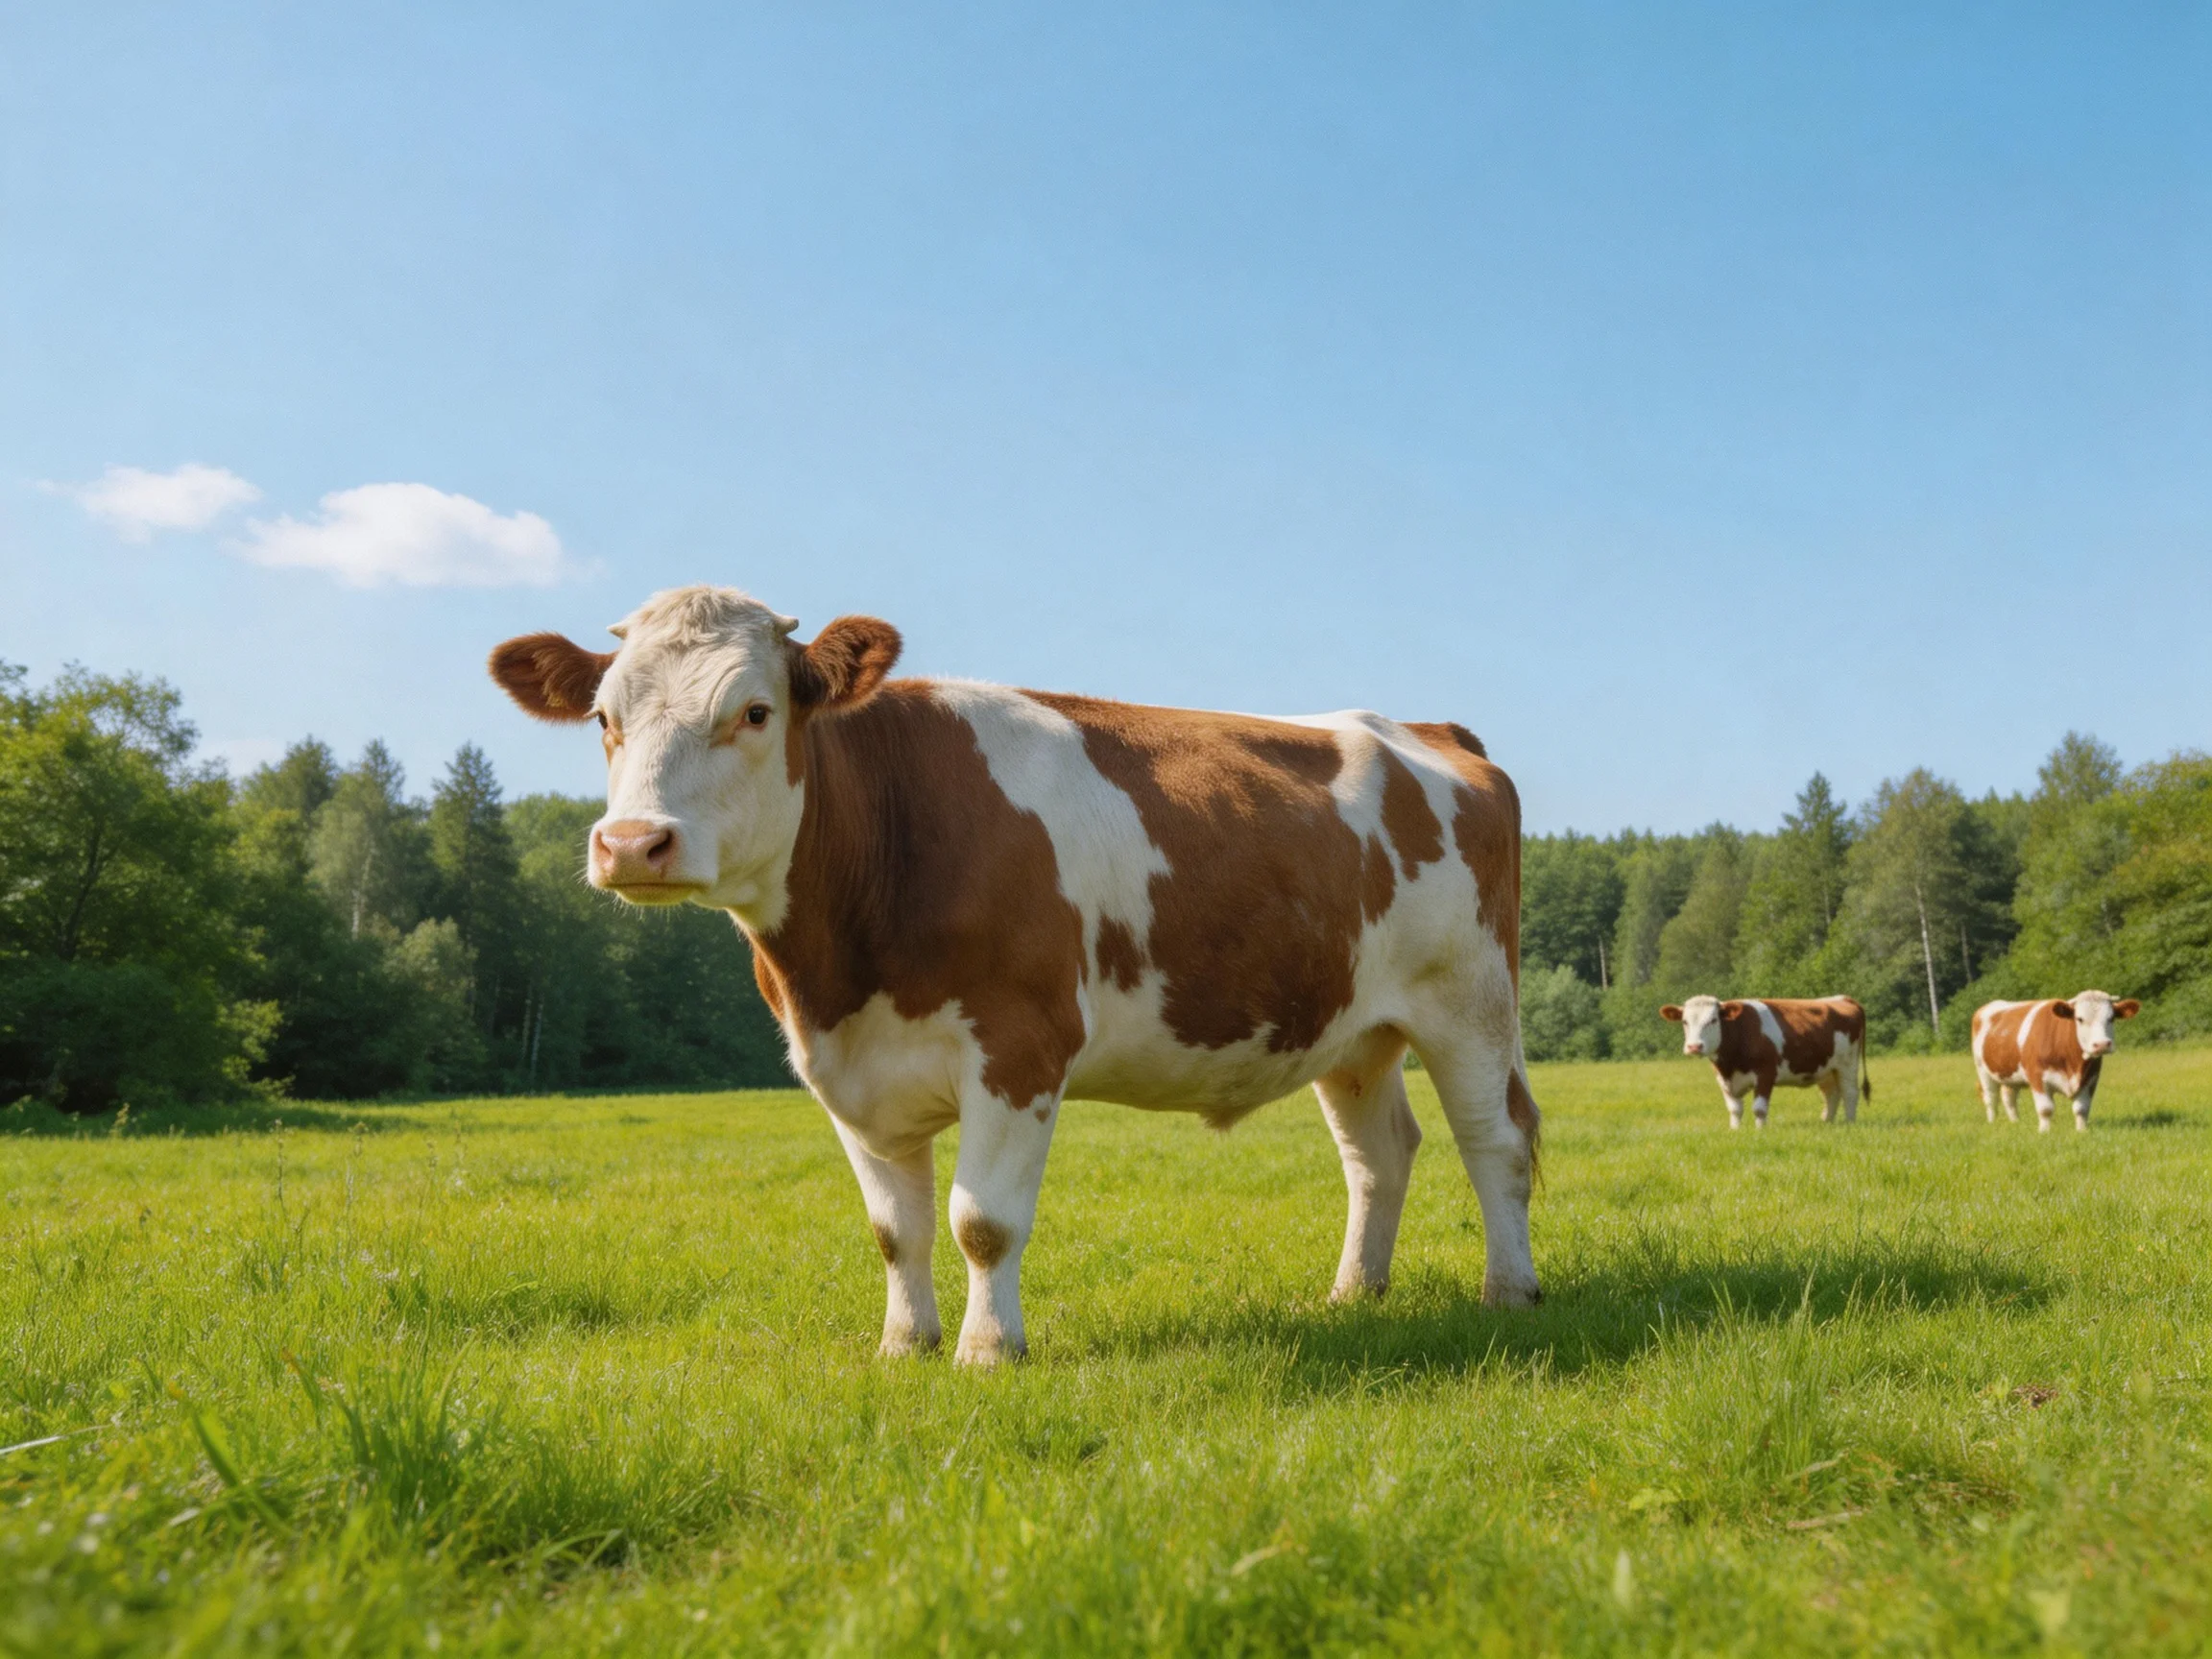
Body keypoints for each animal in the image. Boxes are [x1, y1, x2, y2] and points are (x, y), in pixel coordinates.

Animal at [488, 585, 1542, 1364]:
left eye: (753, 711)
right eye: (603, 718)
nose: (633, 843)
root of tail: (1425, 728)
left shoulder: (1021, 1047)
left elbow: (980, 1221)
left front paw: (990, 1351)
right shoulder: (843, 1070)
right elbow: (897, 1230)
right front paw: (904, 1346)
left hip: (1472, 1001)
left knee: (1498, 1141)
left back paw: (1510, 1290)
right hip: (1352, 1028)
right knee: (1380, 1154)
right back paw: (1353, 1295)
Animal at [1658, 995, 1869, 1129]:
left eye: (1713, 1020)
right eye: (1685, 1021)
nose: (1694, 1046)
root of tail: (1843, 999)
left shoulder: (1765, 1073)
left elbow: (1759, 1109)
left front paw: (1760, 1131)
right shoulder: (1723, 1078)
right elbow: (1735, 1109)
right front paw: (1735, 1130)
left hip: (1847, 1064)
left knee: (1850, 1093)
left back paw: (1850, 1123)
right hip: (1826, 1069)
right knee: (1832, 1094)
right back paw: (1827, 1123)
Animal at [1971, 993, 2139, 1132]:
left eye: (2111, 1018)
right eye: (2080, 1019)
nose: (2102, 1044)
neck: (2074, 1065)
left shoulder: (2091, 1078)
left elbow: (2082, 1108)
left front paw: (2081, 1131)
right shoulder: (2037, 1077)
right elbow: (2046, 1109)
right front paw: (2044, 1132)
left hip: (2009, 1075)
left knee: (2009, 1098)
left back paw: (2015, 1122)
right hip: (1982, 1069)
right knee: (1991, 1098)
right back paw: (1992, 1122)